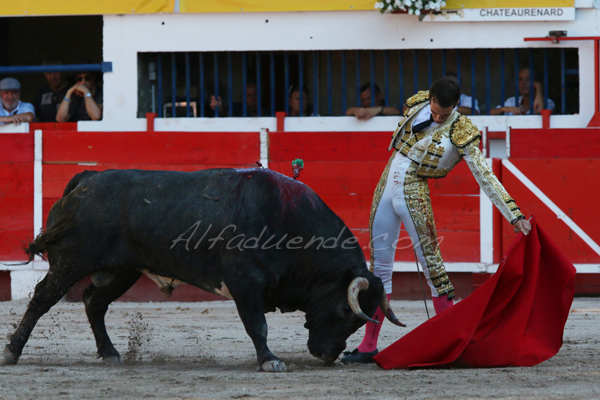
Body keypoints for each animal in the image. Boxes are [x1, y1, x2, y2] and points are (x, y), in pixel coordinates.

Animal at [3, 168, 404, 372]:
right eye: (346, 312)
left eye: (359, 320)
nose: (327, 355)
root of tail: (86, 180)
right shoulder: (245, 284)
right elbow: (257, 325)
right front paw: (270, 361)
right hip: (71, 263)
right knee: (41, 299)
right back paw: (13, 352)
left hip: (122, 270)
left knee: (92, 302)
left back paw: (110, 353)